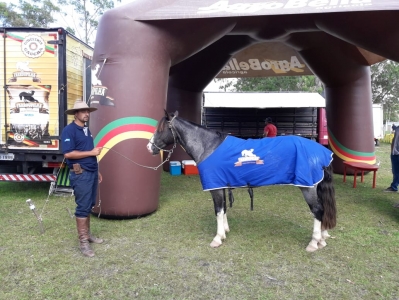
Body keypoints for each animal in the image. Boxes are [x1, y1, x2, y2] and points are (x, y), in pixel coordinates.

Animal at [148, 111, 338, 252]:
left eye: (161, 129)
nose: (149, 147)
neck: (208, 146)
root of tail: (321, 150)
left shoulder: (215, 187)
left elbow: (218, 210)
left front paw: (217, 238)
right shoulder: (222, 184)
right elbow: (224, 209)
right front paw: (225, 232)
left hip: (308, 187)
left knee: (317, 210)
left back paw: (314, 242)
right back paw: (322, 239)